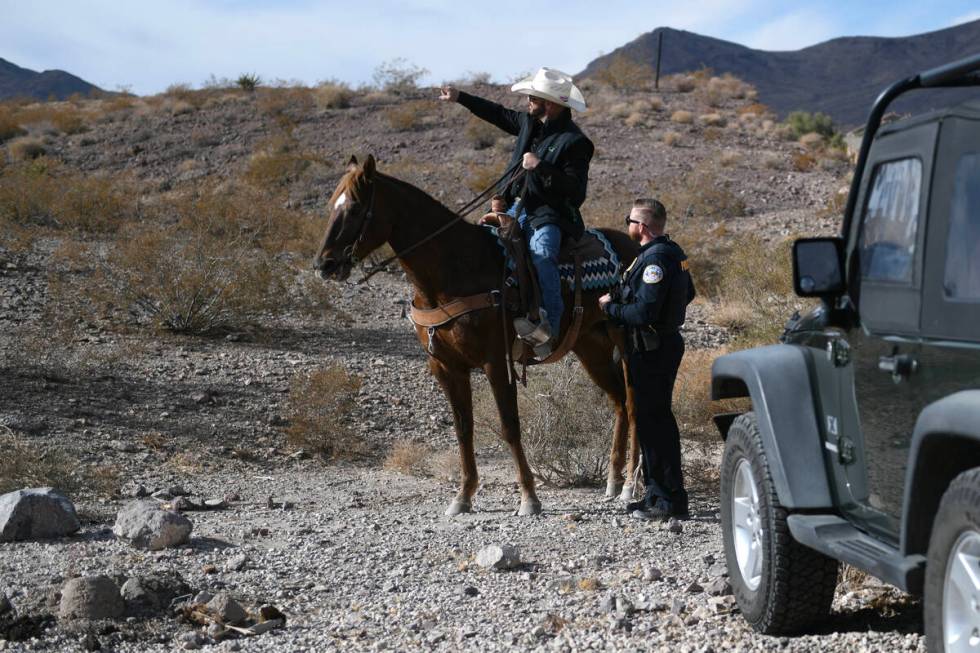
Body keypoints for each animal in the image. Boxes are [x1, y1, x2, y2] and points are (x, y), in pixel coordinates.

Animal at [314, 154, 644, 516]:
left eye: (356, 208)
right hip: (589, 346)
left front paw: (529, 497)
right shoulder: (446, 366)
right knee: (619, 403)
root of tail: (634, 245)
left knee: (634, 406)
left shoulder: (495, 362)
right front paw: (463, 495)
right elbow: (463, 428)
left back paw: (630, 485)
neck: (454, 269)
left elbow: (509, 426)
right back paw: (613, 481)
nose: (324, 264)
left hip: (628, 344)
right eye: (332, 205)